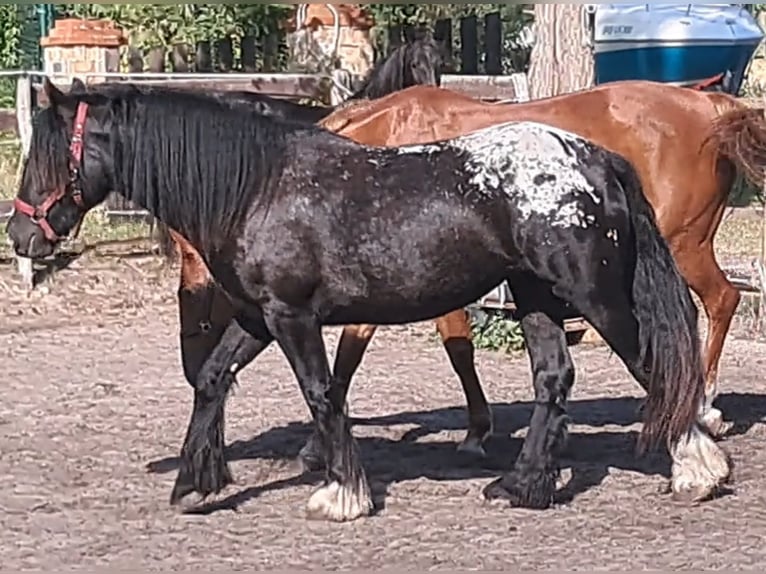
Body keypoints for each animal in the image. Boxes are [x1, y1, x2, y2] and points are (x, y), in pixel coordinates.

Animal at [7, 78, 730, 521]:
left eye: (49, 156)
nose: (21, 235)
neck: (259, 188)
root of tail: (595, 160)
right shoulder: (258, 317)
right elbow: (213, 379)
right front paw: (194, 483)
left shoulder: (292, 317)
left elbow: (322, 393)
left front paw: (341, 492)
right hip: (538, 298)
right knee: (554, 380)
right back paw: (521, 485)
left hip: (597, 296)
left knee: (655, 368)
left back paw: (698, 471)